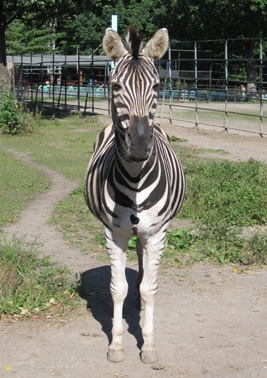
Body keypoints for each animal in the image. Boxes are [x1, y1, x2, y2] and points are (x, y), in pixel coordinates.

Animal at [85, 25, 185, 364]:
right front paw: (116, 345)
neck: (135, 178)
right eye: (115, 86)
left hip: (149, 232)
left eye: (156, 85)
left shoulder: (157, 232)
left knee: (143, 269)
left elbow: (148, 288)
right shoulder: (113, 232)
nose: (140, 148)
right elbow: (119, 288)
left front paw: (149, 345)